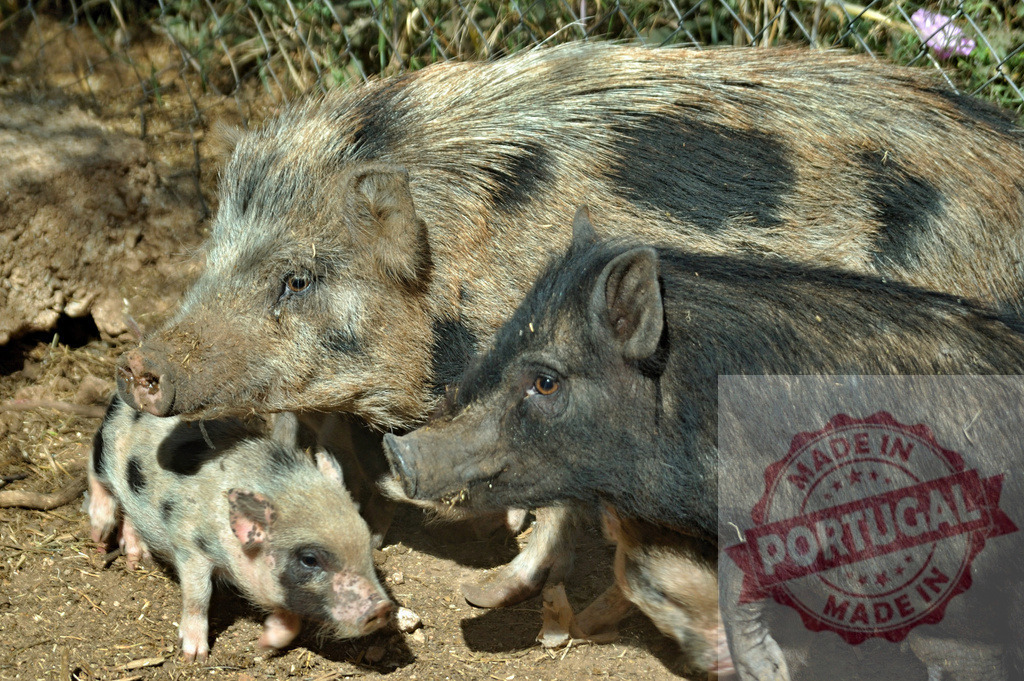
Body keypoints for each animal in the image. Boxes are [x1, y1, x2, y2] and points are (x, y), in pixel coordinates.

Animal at [87, 398, 392, 662]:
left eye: (365, 541)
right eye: (309, 559)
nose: (384, 607)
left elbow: (291, 621)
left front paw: (264, 646)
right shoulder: (190, 546)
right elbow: (198, 596)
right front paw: (195, 657)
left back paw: (137, 558)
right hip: (105, 445)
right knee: (95, 471)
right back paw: (100, 535)